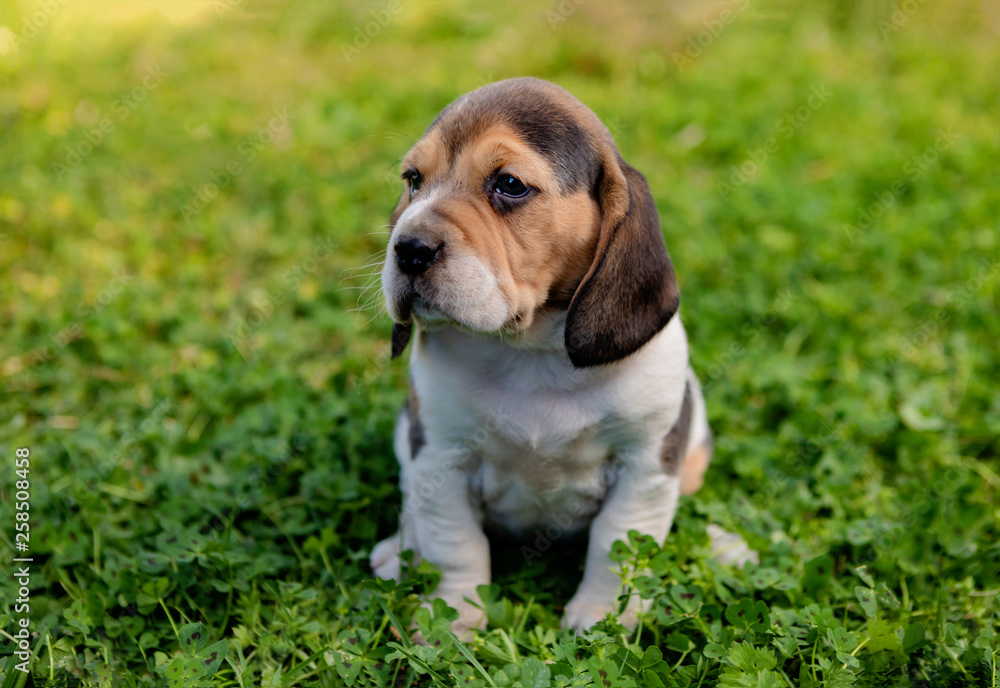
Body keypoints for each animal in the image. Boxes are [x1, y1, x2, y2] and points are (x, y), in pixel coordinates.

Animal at [366, 79, 720, 636]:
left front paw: (602, 618)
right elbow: (455, 544)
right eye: (413, 180)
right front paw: (453, 619)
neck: (531, 353)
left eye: (510, 184)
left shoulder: (644, 464)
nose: (408, 247)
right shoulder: (441, 456)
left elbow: (617, 546)